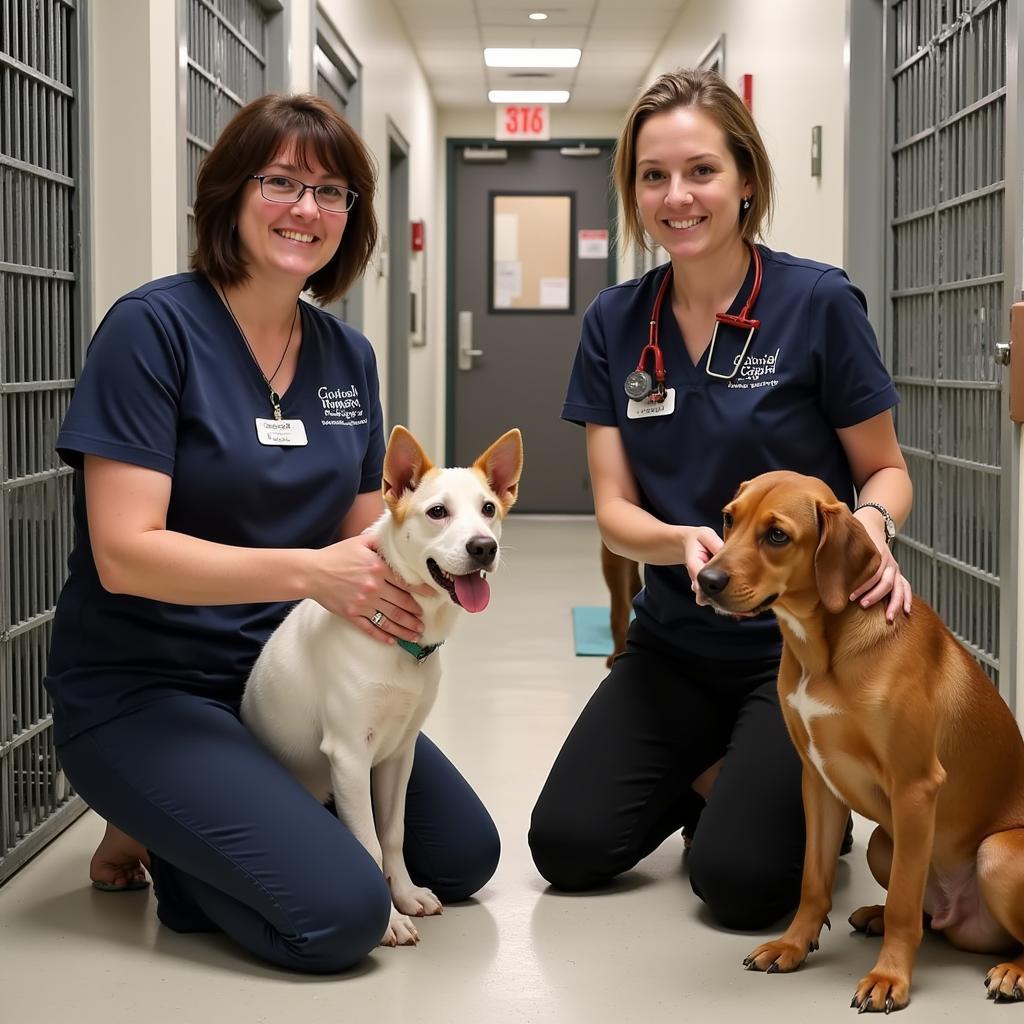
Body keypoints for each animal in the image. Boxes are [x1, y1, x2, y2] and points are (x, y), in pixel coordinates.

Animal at [241, 421, 520, 942]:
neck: (401, 649)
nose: (483, 548)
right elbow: (368, 846)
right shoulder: (350, 756)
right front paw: (389, 920)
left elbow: (392, 834)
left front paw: (405, 896)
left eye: (488, 509)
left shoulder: (397, 753)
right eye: (438, 512)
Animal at [696, 473, 1024, 1015]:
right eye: (728, 518)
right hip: (884, 846)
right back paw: (873, 913)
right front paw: (792, 945)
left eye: (777, 535)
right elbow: (814, 881)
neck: (823, 649)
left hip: (994, 855)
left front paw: (890, 978)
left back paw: (1012, 972)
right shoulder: (817, 780)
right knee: (926, 915)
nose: (706, 580)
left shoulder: (915, 787)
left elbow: (904, 907)